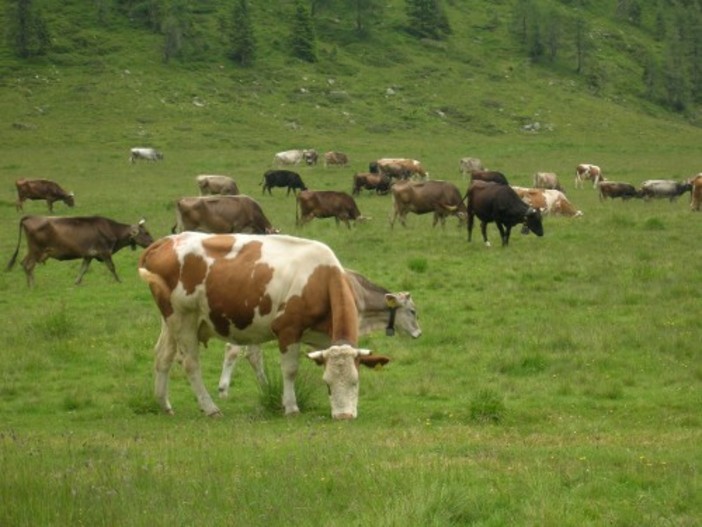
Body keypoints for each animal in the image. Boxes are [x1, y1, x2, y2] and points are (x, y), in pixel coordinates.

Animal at [5, 216, 153, 286]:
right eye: (146, 232)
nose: (152, 242)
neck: (111, 230)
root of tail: (30, 217)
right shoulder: (105, 252)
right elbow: (112, 267)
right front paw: (119, 281)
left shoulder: (88, 255)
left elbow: (83, 269)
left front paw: (76, 282)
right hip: (36, 250)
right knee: (28, 265)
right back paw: (32, 285)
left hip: (32, 251)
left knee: (24, 263)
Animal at [140, 233, 394, 418]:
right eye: (328, 384)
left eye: (355, 382)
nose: (344, 417)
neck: (320, 277)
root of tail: (168, 240)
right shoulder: (288, 329)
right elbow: (290, 370)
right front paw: (291, 407)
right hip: (184, 318)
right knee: (191, 364)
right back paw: (210, 408)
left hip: (171, 321)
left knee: (163, 356)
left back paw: (164, 404)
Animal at [217, 270, 420, 398]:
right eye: (413, 311)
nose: (418, 333)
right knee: (233, 350)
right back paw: (223, 389)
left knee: (252, 355)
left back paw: (266, 387)